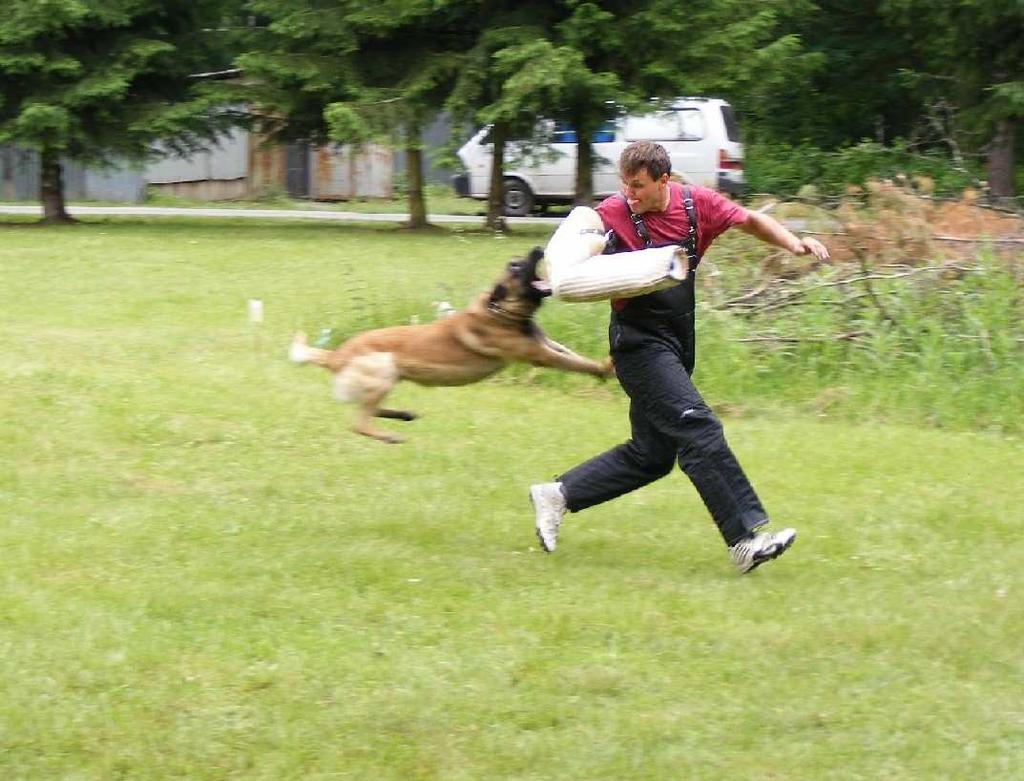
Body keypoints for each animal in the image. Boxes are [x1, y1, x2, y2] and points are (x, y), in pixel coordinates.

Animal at [288, 247, 610, 442]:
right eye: (517, 266)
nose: (538, 249)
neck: (500, 310)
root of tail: (335, 355)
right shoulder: (538, 353)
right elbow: (573, 362)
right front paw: (606, 369)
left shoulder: (546, 343)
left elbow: (572, 354)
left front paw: (603, 365)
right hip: (382, 370)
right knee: (359, 422)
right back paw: (390, 435)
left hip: (385, 379)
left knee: (367, 410)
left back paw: (402, 415)